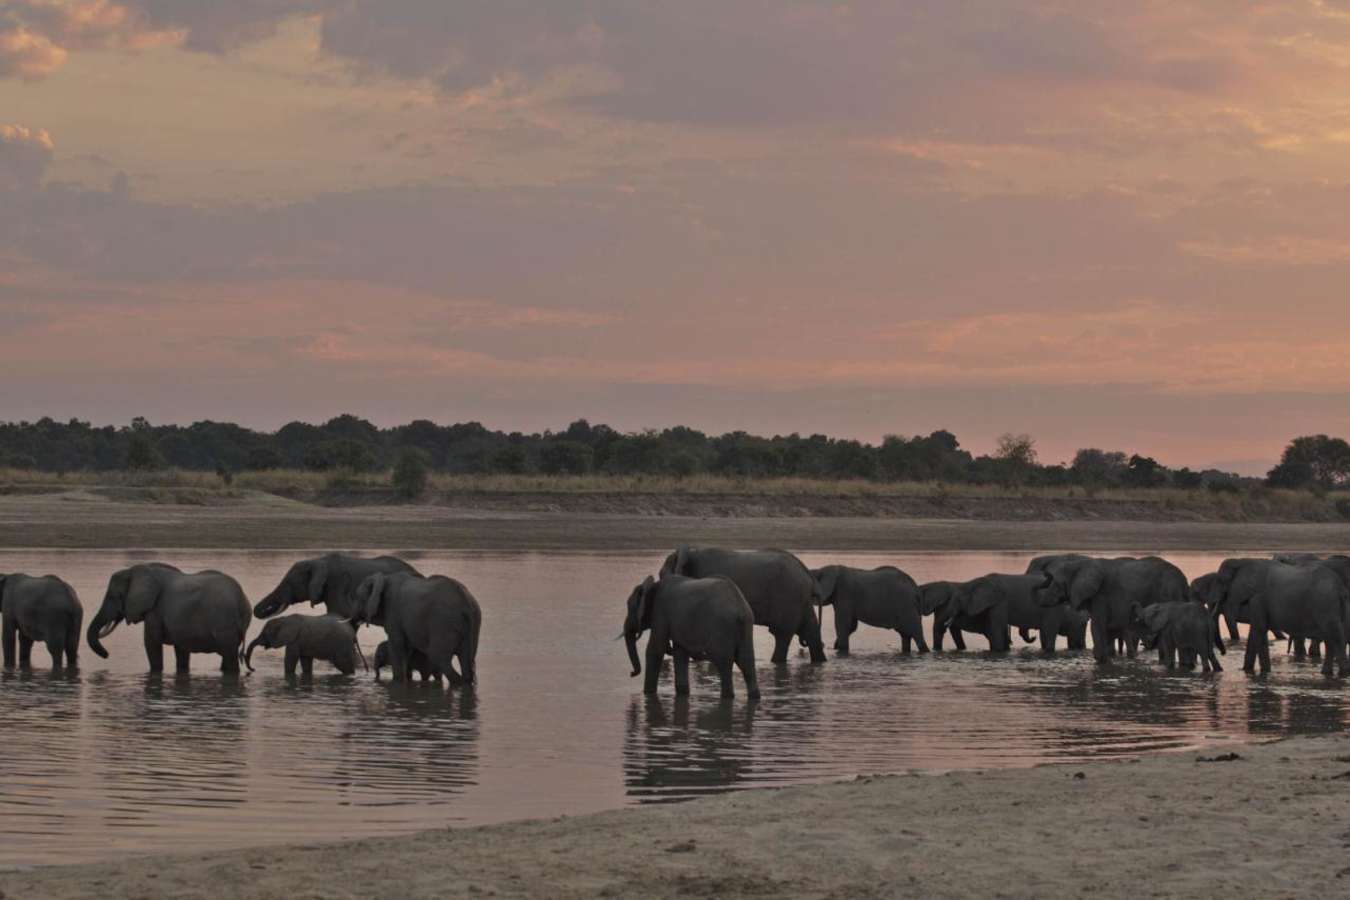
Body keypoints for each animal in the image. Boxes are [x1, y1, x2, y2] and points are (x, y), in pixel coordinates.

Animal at [87, 563, 251, 673]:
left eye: (113, 596)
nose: (106, 655)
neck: (136, 570)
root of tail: (241, 600)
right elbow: (181, 649)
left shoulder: (155, 610)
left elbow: (151, 642)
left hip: (225, 623)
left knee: (229, 654)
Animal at [350, 572, 481, 685]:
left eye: (357, 596)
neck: (384, 578)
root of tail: (466, 603)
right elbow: (406, 648)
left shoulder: (393, 612)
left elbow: (397, 646)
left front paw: (398, 682)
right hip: (473, 624)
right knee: (466, 662)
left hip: (444, 623)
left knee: (439, 658)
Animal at [623, 574, 760, 699]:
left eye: (629, 607)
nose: (631, 673)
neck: (653, 585)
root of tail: (740, 608)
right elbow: (680, 652)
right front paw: (683, 693)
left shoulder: (660, 612)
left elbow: (655, 649)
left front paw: (648, 693)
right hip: (745, 626)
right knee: (746, 663)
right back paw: (754, 696)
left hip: (721, 627)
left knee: (723, 663)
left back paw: (727, 696)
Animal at [660, 546, 825, 665]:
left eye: (662, 576)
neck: (691, 553)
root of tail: (808, 575)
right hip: (800, 599)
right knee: (810, 630)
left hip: (789, 596)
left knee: (782, 635)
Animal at [1033, 555, 1188, 663]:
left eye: (1056, 585)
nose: (1040, 599)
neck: (1079, 565)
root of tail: (1184, 580)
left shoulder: (1101, 596)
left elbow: (1097, 626)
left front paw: (1101, 660)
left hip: (1168, 593)